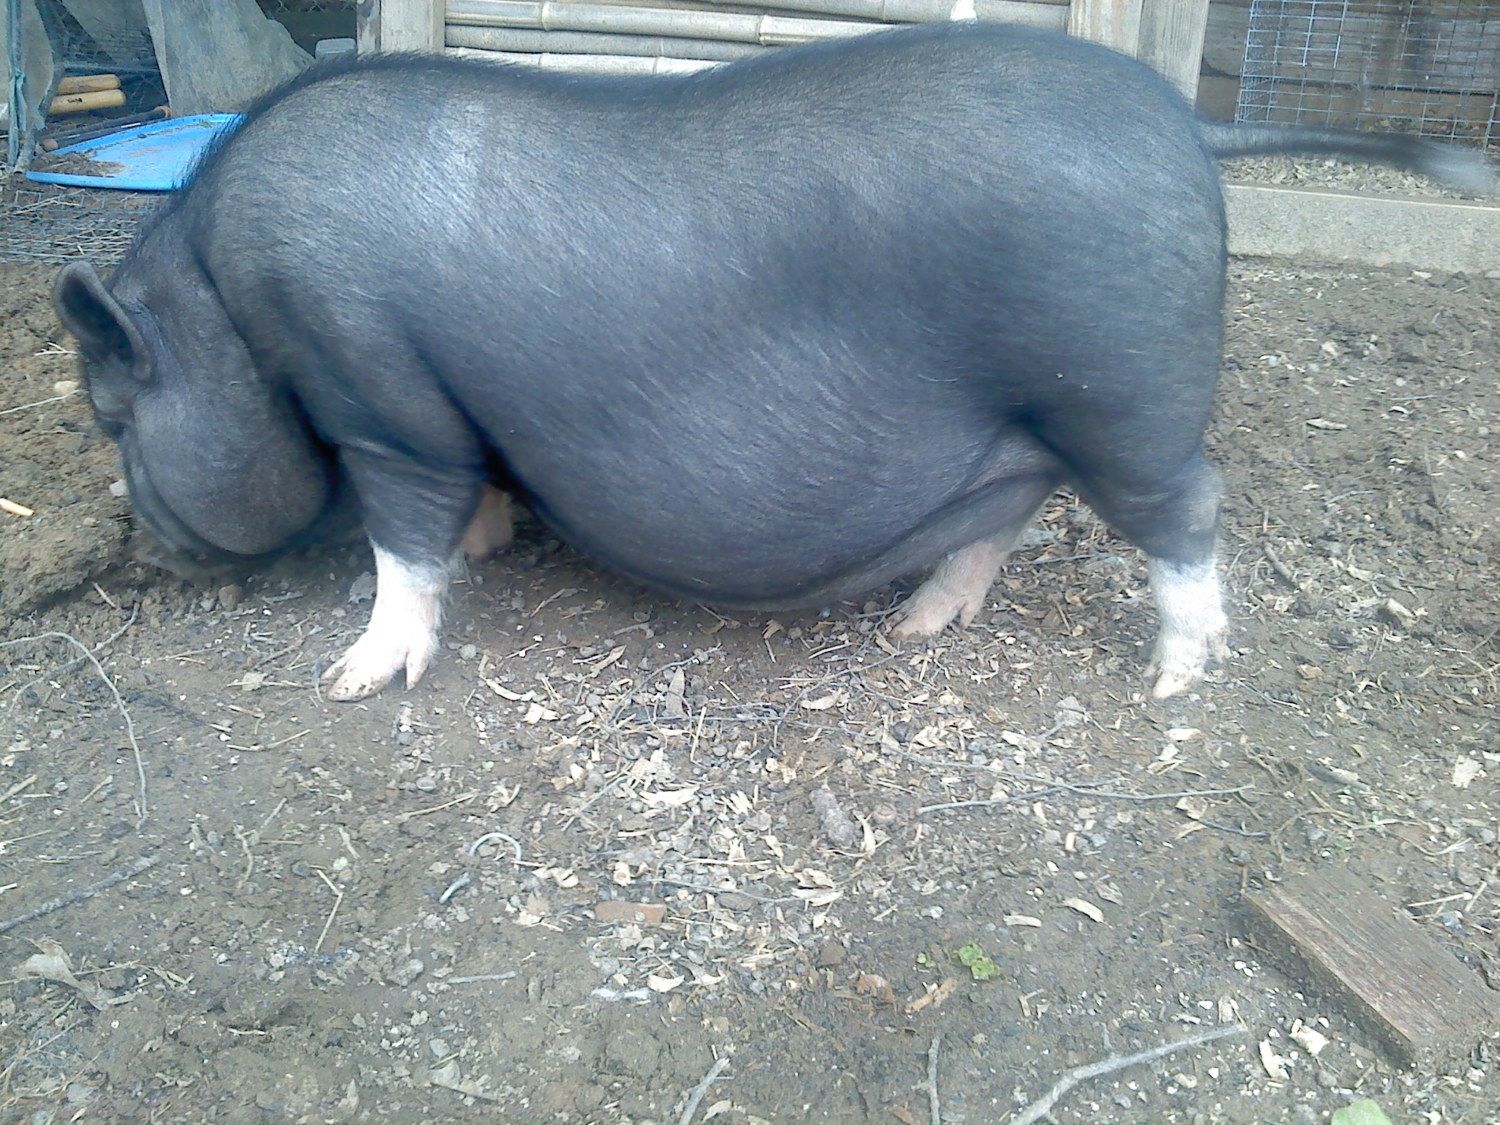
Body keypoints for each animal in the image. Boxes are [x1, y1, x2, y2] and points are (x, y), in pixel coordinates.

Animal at [53, 23, 1494, 701]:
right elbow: (476, 489)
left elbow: (402, 532)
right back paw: (921, 623)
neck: (222, 294)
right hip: (1041, 419)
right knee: (1010, 512)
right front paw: (493, 542)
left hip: (1123, 391)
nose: (150, 553)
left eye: (114, 414)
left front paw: (356, 676)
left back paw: (1176, 677)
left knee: (1188, 507)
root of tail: (1192, 127)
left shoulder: (377, 393)